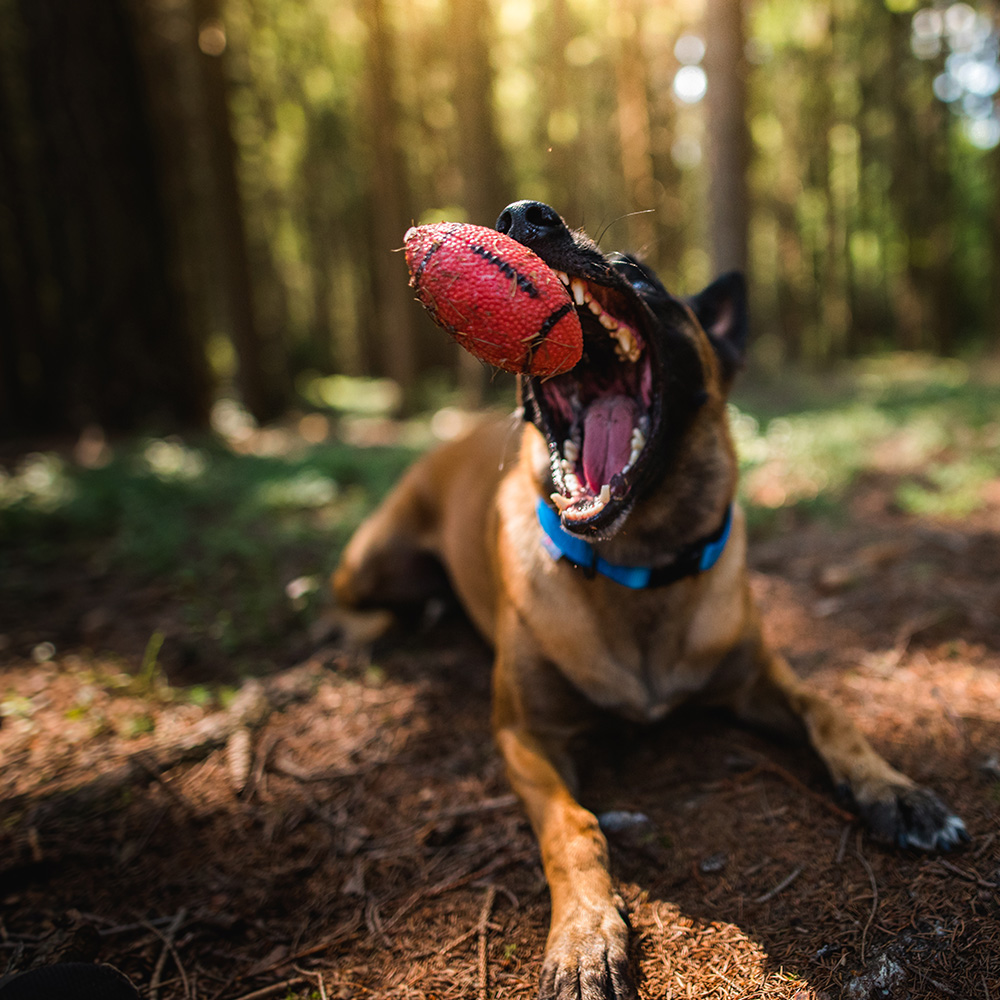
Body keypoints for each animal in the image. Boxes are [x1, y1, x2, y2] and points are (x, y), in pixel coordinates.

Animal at [336, 203, 968, 1000]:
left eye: (640, 274)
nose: (524, 215)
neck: (638, 569)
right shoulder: (524, 736)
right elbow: (573, 827)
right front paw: (583, 936)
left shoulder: (760, 679)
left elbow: (830, 709)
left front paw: (898, 793)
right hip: (370, 563)